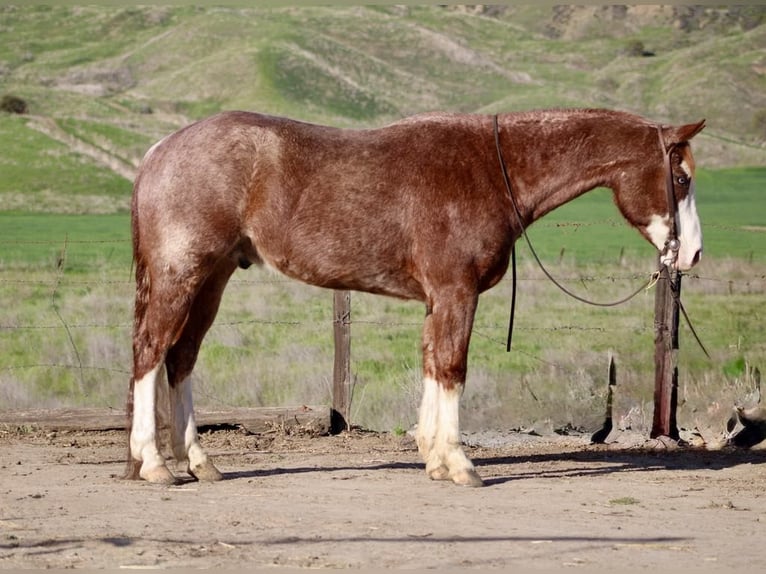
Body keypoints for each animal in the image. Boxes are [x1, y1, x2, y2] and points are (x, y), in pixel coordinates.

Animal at [127, 108, 705, 487]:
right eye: (680, 178)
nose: (694, 254)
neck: (490, 169)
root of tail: (159, 151)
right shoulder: (456, 293)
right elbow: (451, 368)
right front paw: (460, 464)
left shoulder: (438, 300)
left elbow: (431, 365)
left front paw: (432, 458)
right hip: (182, 276)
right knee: (150, 352)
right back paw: (153, 464)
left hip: (213, 280)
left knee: (180, 358)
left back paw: (199, 462)